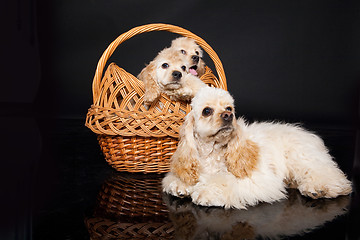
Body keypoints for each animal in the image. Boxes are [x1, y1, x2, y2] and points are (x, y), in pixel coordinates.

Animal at [162, 87, 352, 209]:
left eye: (229, 108)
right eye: (207, 111)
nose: (228, 115)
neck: (213, 151)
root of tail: (308, 134)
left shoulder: (257, 180)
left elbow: (223, 181)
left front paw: (206, 192)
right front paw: (180, 185)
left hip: (302, 158)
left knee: (330, 176)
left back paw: (319, 188)